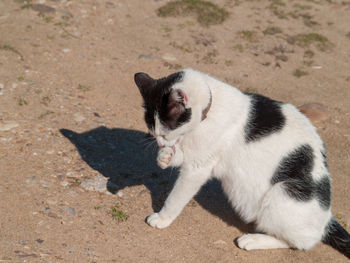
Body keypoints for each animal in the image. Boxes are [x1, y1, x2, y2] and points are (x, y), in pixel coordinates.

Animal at [134, 69, 350, 258]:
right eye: (153, 131)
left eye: (164, 133)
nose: (160, 142)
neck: (208, 112)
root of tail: (327, 218)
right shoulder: (196, 155)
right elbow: (179, 154)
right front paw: (164, 157)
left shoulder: (198, 168)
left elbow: (176, 198)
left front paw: (163, 217)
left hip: (283, 192)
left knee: (301, 243)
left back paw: (254, 240)